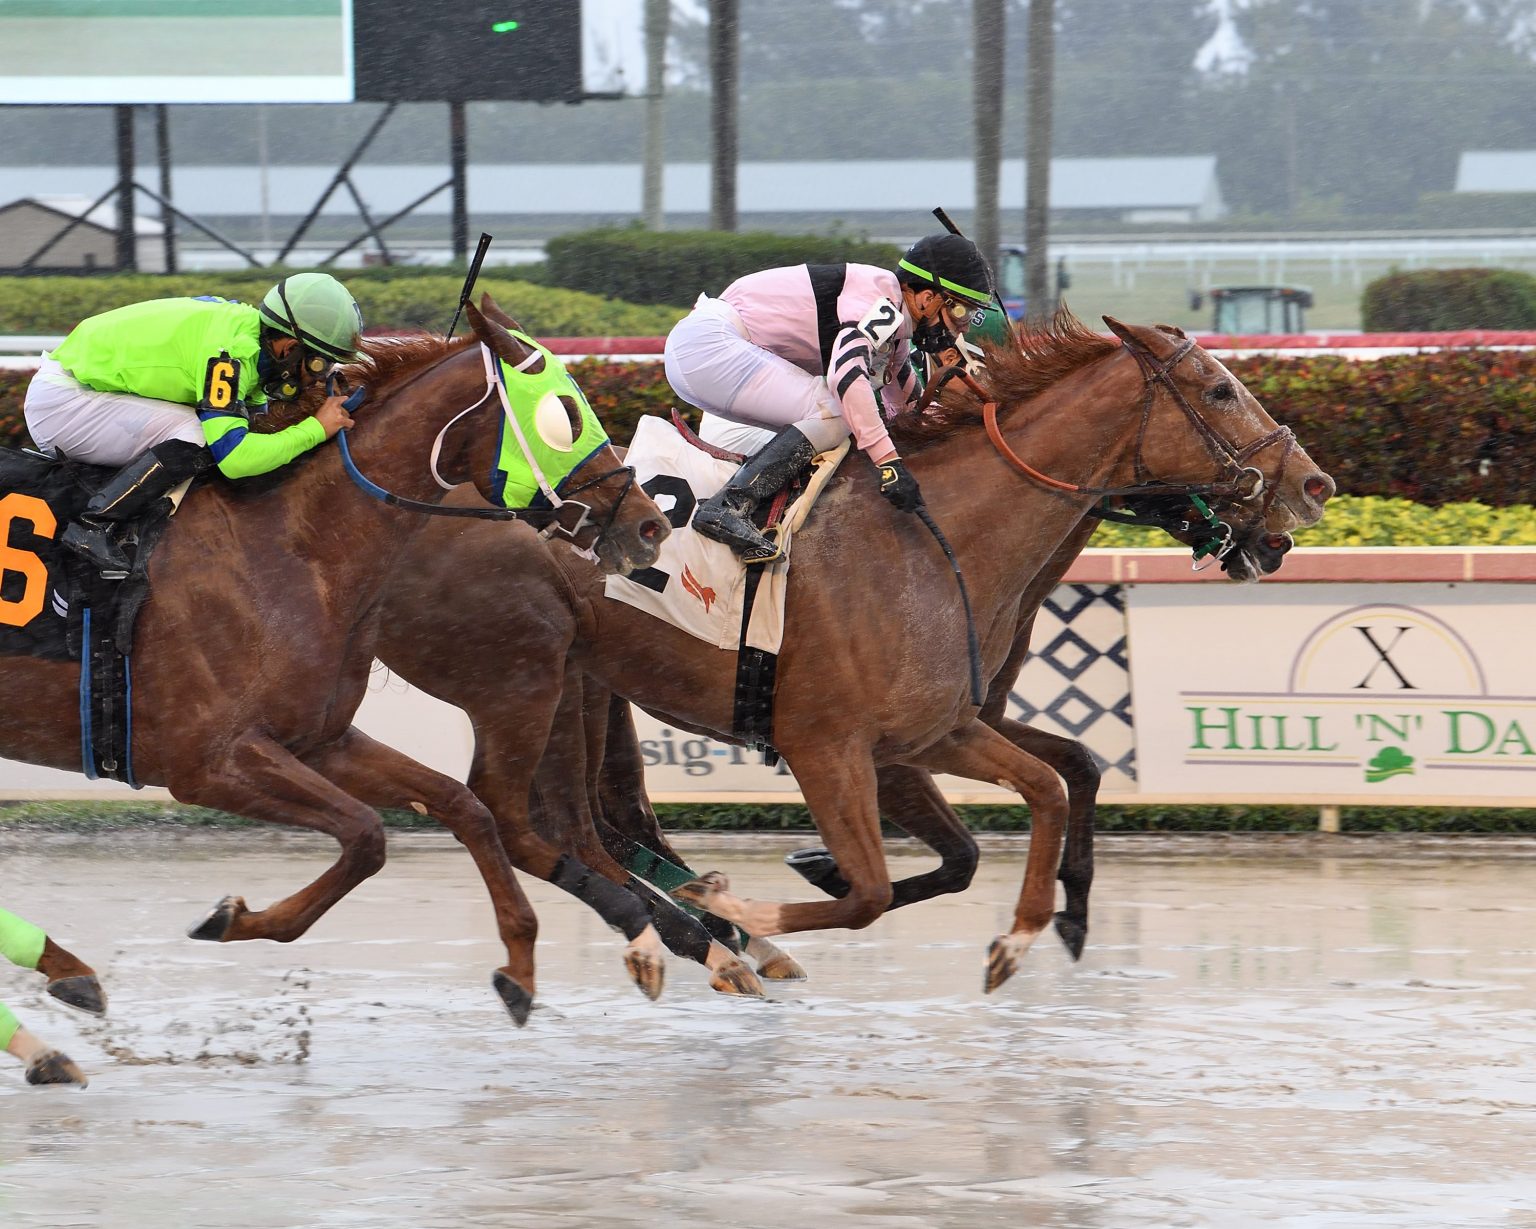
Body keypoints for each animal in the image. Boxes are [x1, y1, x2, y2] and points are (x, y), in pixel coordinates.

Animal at [3, 302, 669, 1020]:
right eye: (563, 414)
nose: (650, 525)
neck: (295, 543)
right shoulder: (208, 762)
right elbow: (368, 835)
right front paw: (231, 918)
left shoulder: (318, 739)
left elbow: (464, 805)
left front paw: (520, 963)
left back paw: (66, 970)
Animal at [380, 311, 1333, 995]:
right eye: (1218, 389)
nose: (1313, 485)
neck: (937, 538)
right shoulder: (834, 748)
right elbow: (882, 887)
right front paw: (767, 894)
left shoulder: (938, 730)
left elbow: (1058, 781)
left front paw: (1035, 928)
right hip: (543, 681)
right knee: (567, 822)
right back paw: (715, 938)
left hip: (590, 685)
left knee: (603, 820)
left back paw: (715, 937)